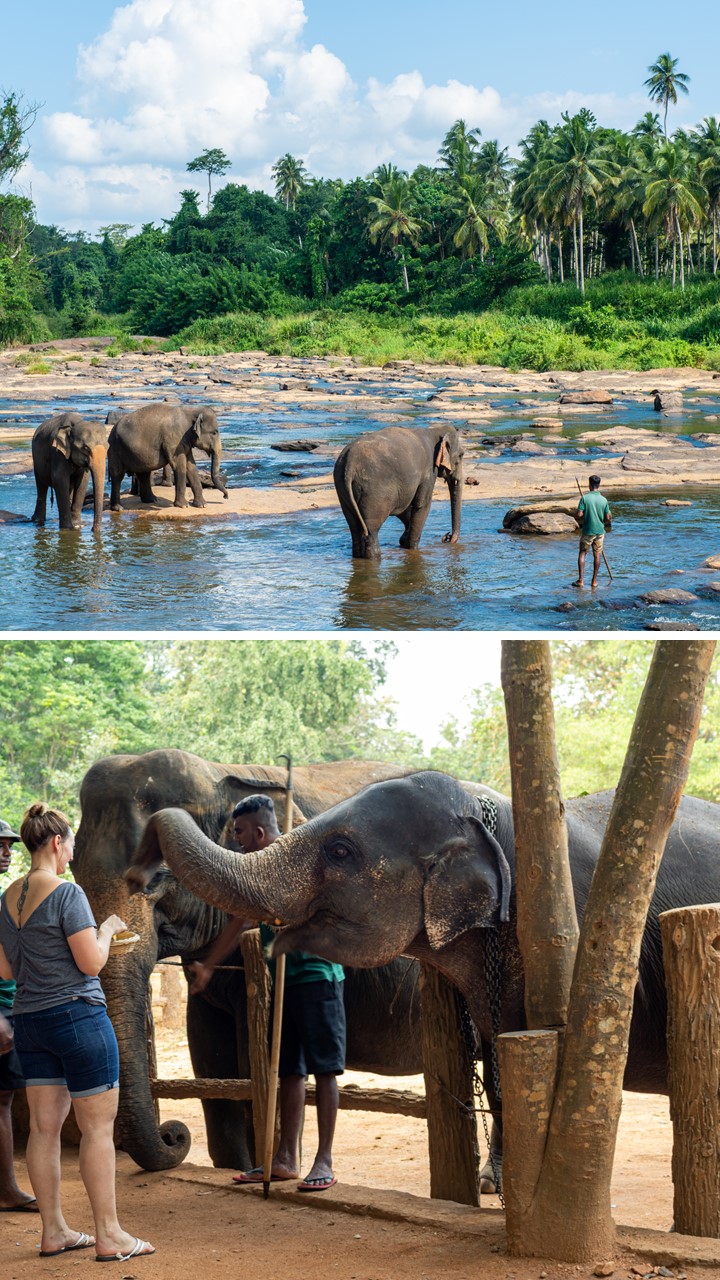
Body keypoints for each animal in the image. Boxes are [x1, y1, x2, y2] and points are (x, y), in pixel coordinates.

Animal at [71, 747, 420, 1172]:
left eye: (158, 877)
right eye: (72, 870)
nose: (173, 1134)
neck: (222, 772)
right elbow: (209, 1055)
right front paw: (234, 1168)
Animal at [128, 762, 720, 1192]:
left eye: (340, 850)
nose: (141, 869)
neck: (489, 813)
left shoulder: (577, 936)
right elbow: (500, 1055)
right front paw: (493, 1185)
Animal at [333, 424, 461, 560]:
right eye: (461, 455)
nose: (447, 537)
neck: (434, 430)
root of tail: (350, 463)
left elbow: (403, 506)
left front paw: (404, 541)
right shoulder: (428, 472)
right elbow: (422, 504)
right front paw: (412, 548)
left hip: (342, 487)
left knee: (354, 526)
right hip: (373, 490)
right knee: (371, 528)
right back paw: (374, 557)